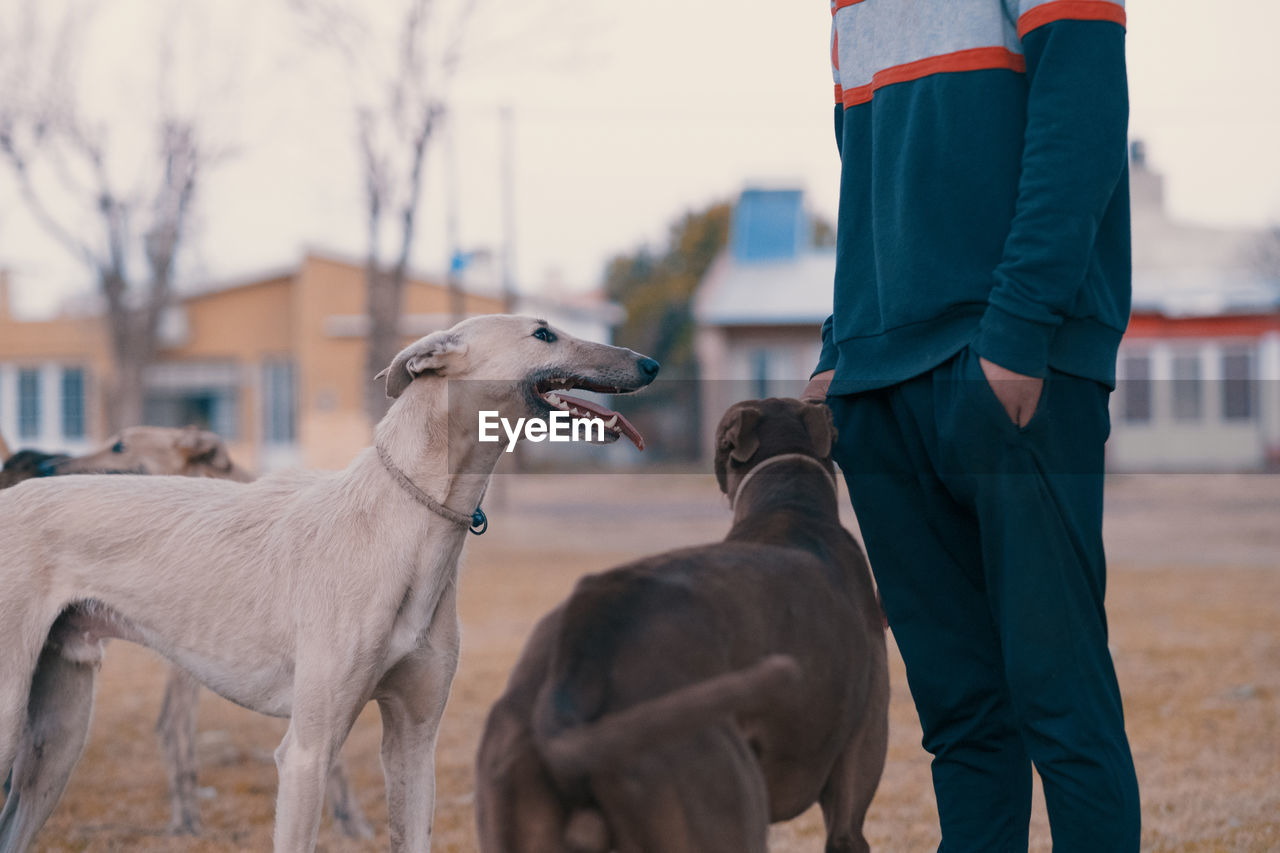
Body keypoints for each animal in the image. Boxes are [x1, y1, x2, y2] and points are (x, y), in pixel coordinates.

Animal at [0, 313, 660, 850]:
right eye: (543, 334)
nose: (650, 364)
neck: (402, 521)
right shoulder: (305, 755)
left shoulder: (414, 744)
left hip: (55, 741)